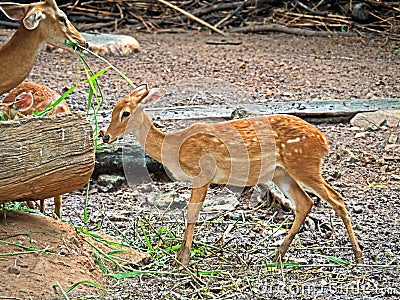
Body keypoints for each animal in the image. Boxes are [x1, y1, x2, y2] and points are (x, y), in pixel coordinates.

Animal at [99, 84, 362, 264]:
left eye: (125, 113)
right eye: (112, 110)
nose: (105, 136)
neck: (174, 148)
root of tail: (323, 141)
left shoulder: (203, 173)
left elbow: (192, 214)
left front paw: (183, 260)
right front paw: (180, 256)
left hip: (304, 165)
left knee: (336, 198)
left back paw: (358, 256)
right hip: (281, 173)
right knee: (305, 203)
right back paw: (277, 254)